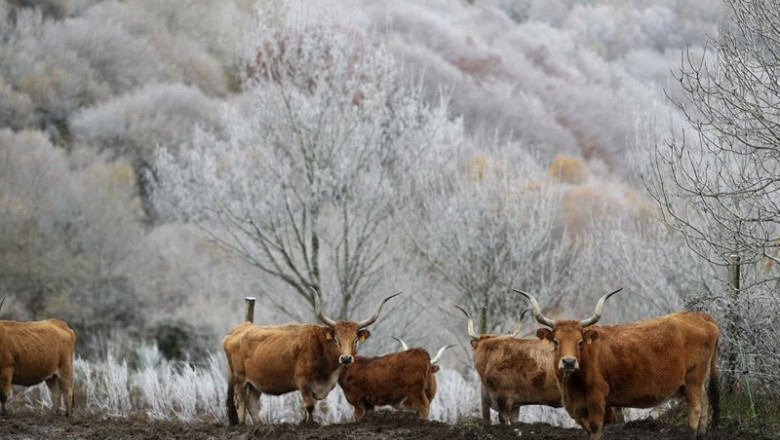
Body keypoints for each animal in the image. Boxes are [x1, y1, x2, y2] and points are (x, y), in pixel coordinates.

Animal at [222, 289, 401, 425]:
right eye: (336, 339)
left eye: (355, 340)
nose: (346, 359)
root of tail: (238, 329)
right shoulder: (303, 382)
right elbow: (309, 405)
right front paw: (310, 425)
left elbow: (307, 406)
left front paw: (304, 423)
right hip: (240, 379)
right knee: (240, 401)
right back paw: (243, 425)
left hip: (256, 383)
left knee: (252, 403)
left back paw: (259, 425)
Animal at [515, 288, 720, 440]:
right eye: (556, 341)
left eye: (579, 342)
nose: (568, 361)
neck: (572, 385)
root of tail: (699, 316)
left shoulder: (598, 399)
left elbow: (595, 429)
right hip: (695, 382)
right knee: (705, 402)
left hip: (693, 378)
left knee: (696, 408)